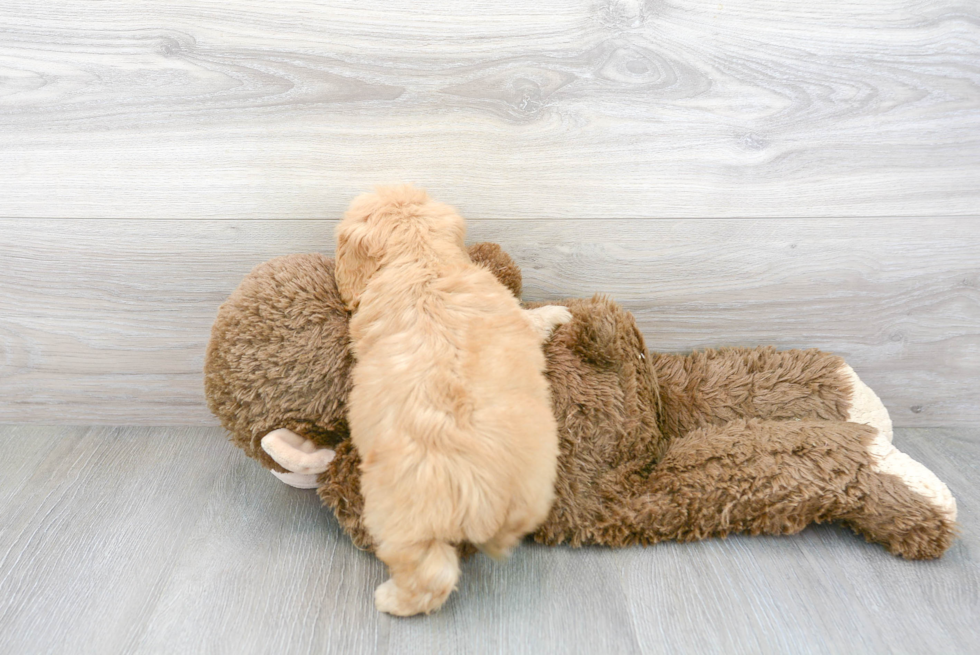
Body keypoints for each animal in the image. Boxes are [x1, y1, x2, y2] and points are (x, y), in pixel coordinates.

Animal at [334, 184, 572, 616]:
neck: (422, 259)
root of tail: (486, 489)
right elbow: (530, 320)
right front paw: (559, 314)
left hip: (396, 516)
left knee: (431, 575)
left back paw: (390, 600)